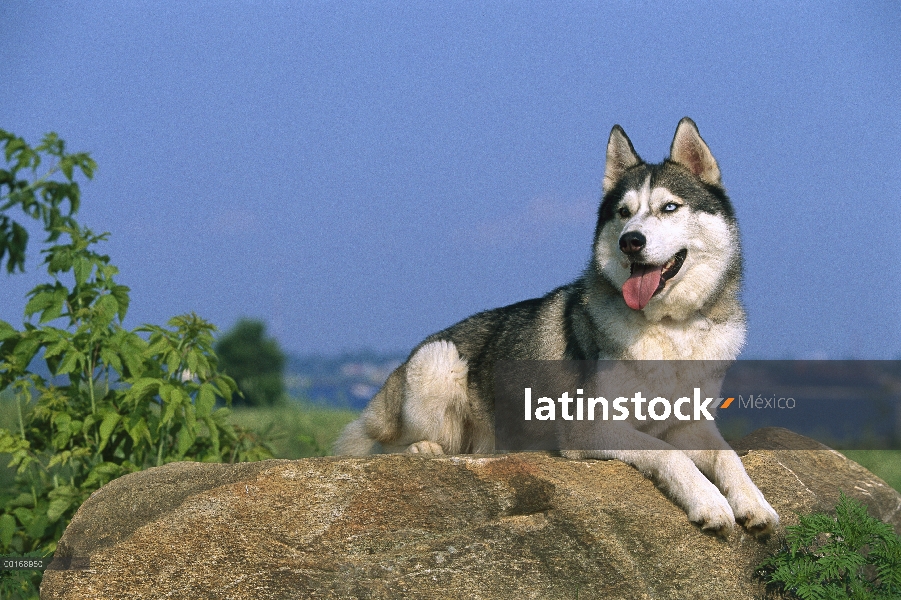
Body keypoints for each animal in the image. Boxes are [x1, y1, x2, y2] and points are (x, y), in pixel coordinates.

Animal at [334, 117, 776, 540]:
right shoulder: (591, 427)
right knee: (384, 447)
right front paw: (710, 503)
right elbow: (673, 456)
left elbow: (727, 457)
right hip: (438, 358)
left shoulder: (690, 424)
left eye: (670, 207)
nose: (631, 241)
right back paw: (424, 449)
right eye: (623, 213)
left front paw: (756, 504)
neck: (669, 328)